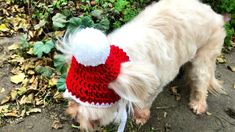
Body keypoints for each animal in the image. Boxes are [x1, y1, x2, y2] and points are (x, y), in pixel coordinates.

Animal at [57, 0, 226, 130]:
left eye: (80, 102)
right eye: (71, 100)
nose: (72, 116)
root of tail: (216, 16)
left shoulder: (154, 85)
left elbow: (144, 103)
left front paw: (140, 116)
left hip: (203, 60)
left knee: (202, 82)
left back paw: (198, 104)